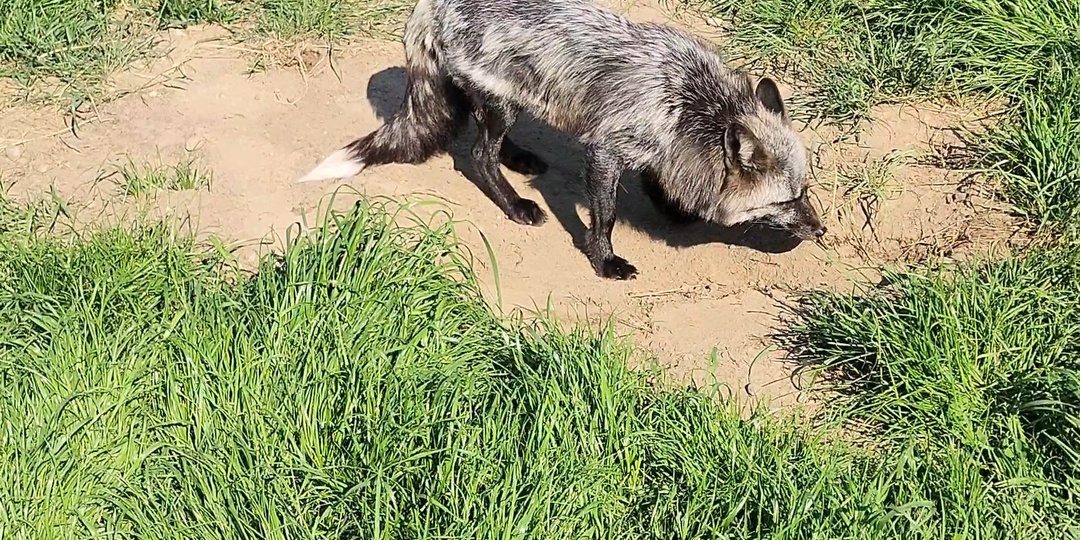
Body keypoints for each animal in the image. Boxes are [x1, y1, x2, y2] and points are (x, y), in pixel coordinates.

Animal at [298, 0, 826, 280]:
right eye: (787, 200)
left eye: (805, 191)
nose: (821, 230)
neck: (690, 103)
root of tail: (432, 5)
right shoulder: (606, 151)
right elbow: (605, 217)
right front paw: (606, 262)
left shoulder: (659, 147)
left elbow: (661, 182)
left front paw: (675, 208)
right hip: (503, 105)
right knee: (479, 154)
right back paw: (516, 205)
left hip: (504, 101)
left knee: (487, 139)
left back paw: (521, 160)